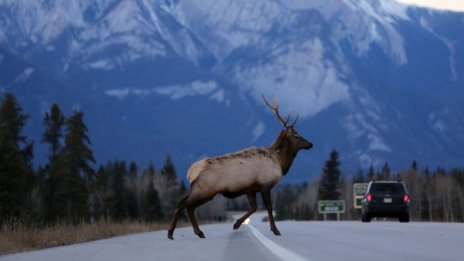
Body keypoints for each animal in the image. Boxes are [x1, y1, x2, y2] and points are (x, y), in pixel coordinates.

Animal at [167, 94, 312, 239]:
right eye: (297, 136)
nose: (311, 144)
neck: (280, 163)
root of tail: (191, 172)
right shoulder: (265, 184)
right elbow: (269, 207)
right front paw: (275, 230)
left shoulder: (251, 189)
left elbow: (254, 208)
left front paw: (236, 223)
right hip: (204, 190)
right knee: (182, 204)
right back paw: (171, 233)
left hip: (201, 191)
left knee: (190, 207)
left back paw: (199, 232)